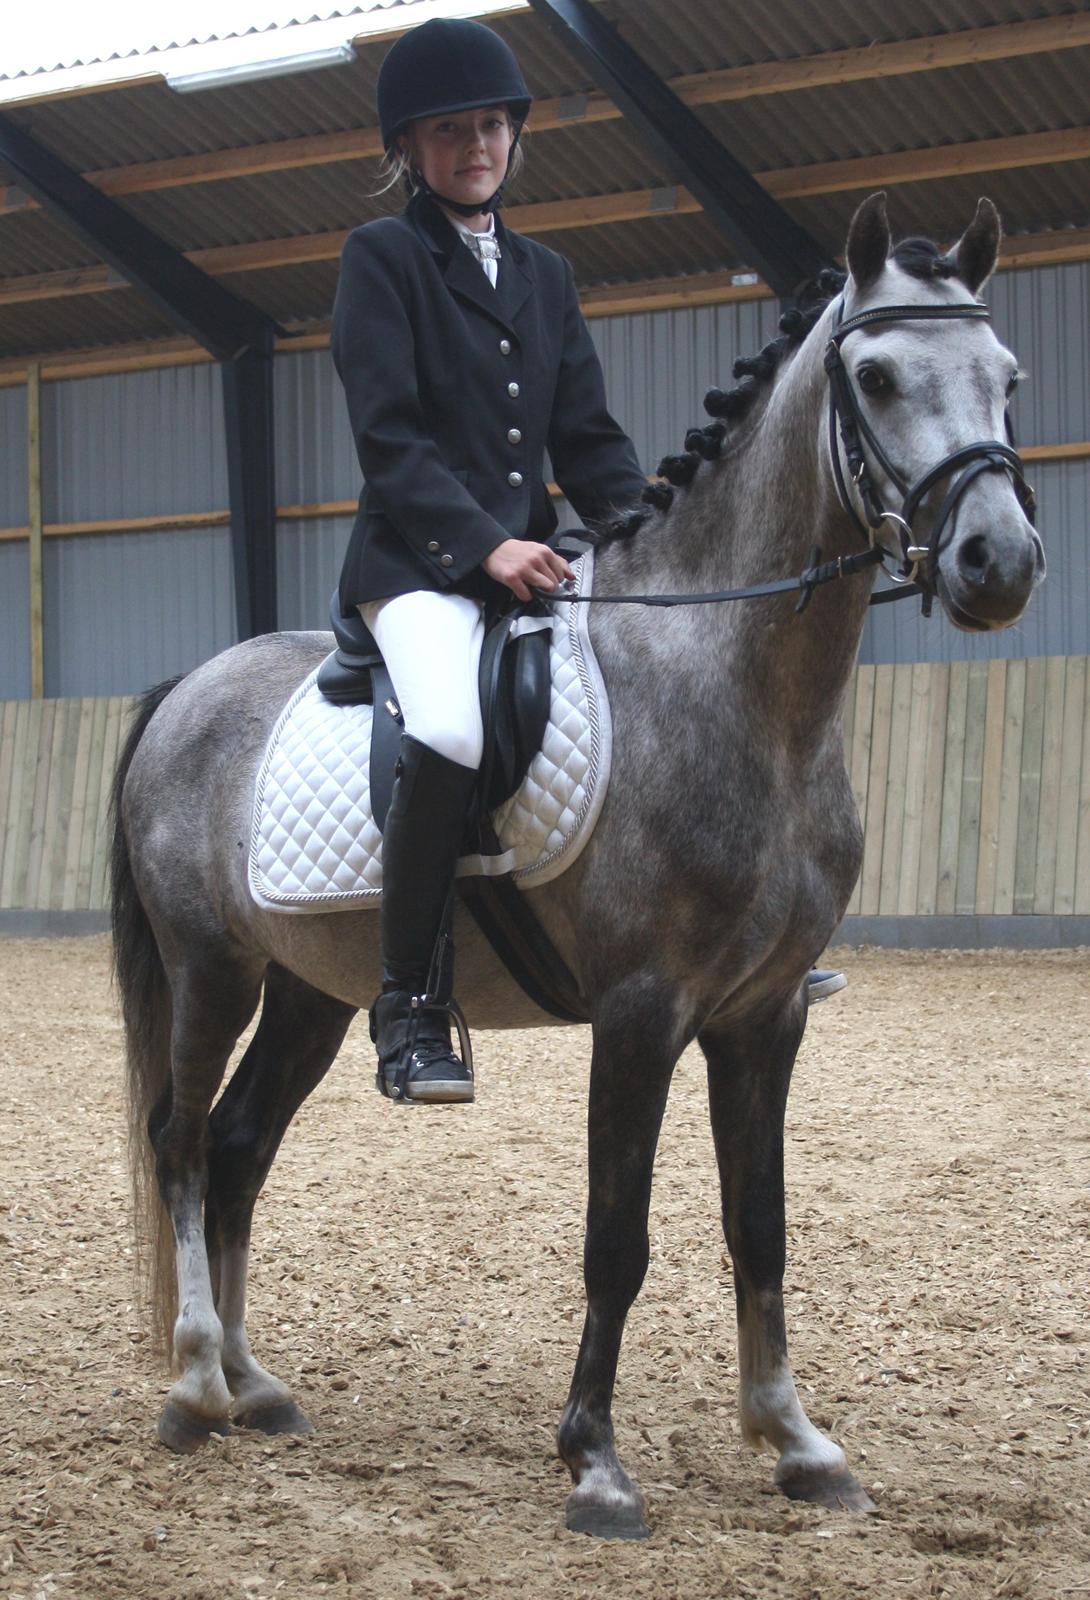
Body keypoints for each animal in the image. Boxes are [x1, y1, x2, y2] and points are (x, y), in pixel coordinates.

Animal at [110, 194, 1043, 1539]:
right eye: (873, 376)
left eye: (1005, 377)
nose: (996, 562)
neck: (744, 692)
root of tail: (189, 684)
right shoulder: (640, 1013)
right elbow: (620, 1238)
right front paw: (595, 1462)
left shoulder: (764, 1017)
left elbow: (759, 1226)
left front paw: (796, 1442)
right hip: (210, 969)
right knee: (180, 1138)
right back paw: (191, 1385)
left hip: (310, 994)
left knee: (236, 1147)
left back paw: (254, 1383)